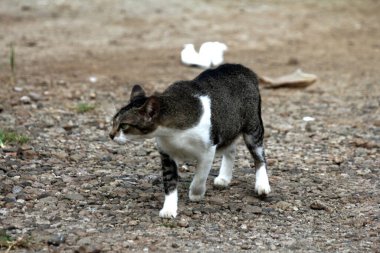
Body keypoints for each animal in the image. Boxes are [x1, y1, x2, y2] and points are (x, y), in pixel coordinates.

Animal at [109, 63, 270, 217]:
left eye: (124, 125)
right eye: (113, 122)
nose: (111, 135)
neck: (173, 132)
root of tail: (242, 68)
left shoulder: (209, 149)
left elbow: (200, 175)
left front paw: (195, 193)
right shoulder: (166, 153)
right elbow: (170, 182)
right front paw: (169, 208)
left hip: (252, 128)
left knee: (259, 156)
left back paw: (262, 185)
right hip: (229, 126)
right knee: (231, 149)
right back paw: (224, 178)